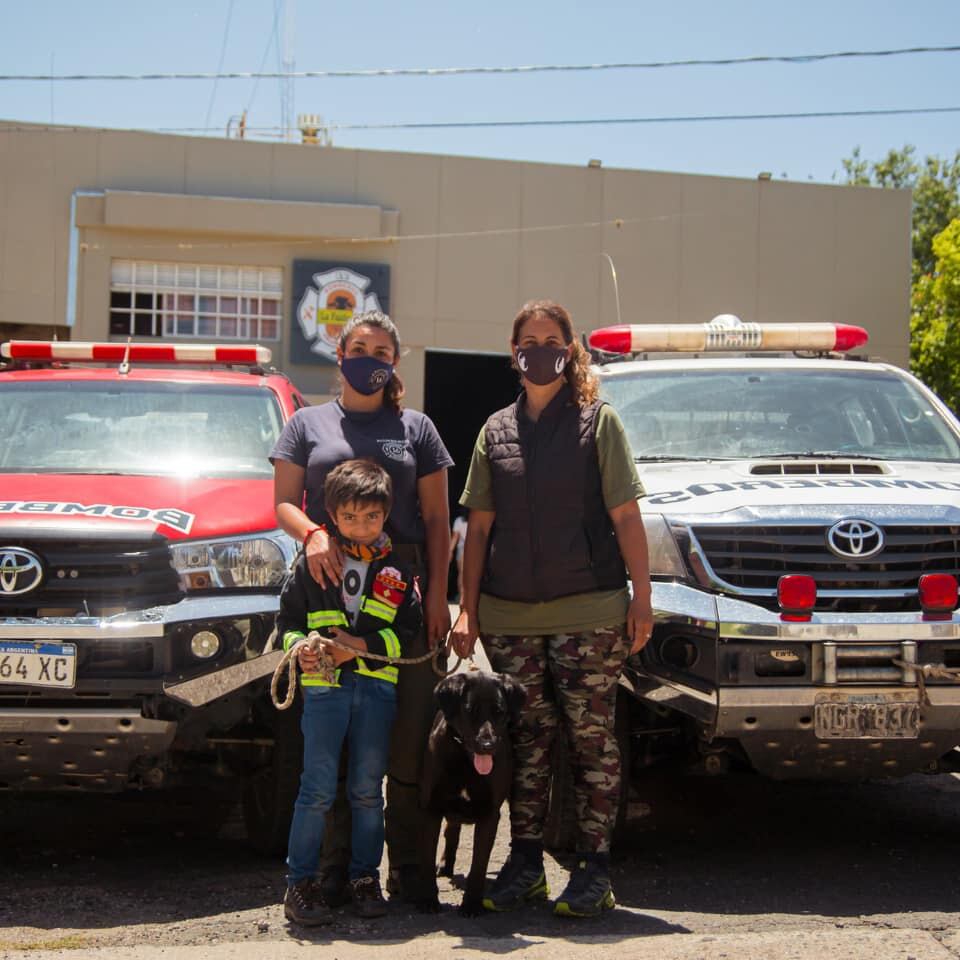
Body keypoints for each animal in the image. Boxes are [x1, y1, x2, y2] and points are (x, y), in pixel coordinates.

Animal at [418, 668, 524, 916]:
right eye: (469, 711)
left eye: (499, 711)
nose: (487, 746)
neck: (465, 761)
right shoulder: (431, 808)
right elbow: (426, 858)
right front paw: (428, 899)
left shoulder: (490, 814)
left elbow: (479, 864)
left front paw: (472, 904)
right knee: (451, 832)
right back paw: (445, 865)